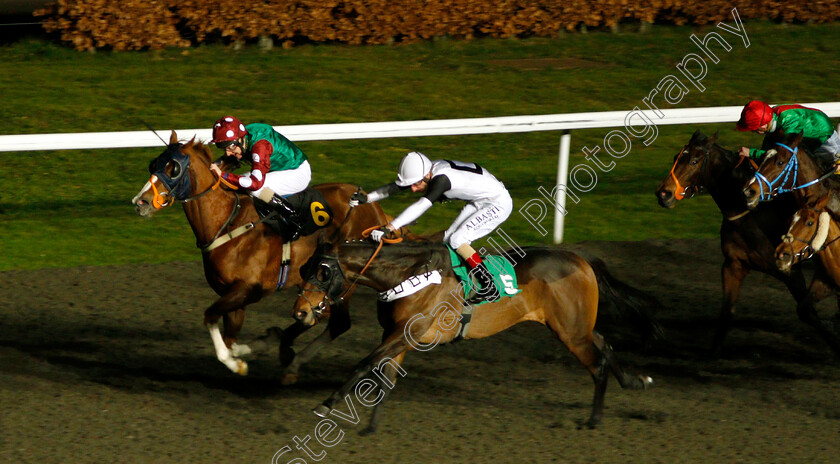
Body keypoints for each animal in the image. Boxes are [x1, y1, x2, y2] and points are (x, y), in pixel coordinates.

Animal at [132, 131, 394, 376]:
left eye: (173, 168)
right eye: (153, 164)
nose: (140, 202)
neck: (227, 223)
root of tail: (374, 206)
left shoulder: (248, 289)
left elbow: (210, 318)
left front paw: (237, 361)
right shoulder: (232, 296)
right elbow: (230, 339)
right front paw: (249, 350)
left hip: (342, 280)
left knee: (336, 322)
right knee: (323, 318)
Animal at [298, 241, 652, 434]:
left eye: (323, 272)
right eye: (304, 268)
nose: (300, 311)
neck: (409, 274)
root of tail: (582, 261)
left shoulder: (406, 332)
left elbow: (364, 364)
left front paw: (326, 405)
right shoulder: (395, 333)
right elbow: (386, 377)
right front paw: (371, 427)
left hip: (571, 331)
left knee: (597, 364)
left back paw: (594, 419)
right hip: (574, 325)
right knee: (605, 343)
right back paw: (635, 381)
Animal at [656, 130, 840, 356]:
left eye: (693, 161)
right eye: (676, 157)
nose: (663, 194)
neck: (752, 215)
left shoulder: (790, 270)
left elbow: (810, 313)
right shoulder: (734, 264)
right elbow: (726, 312)